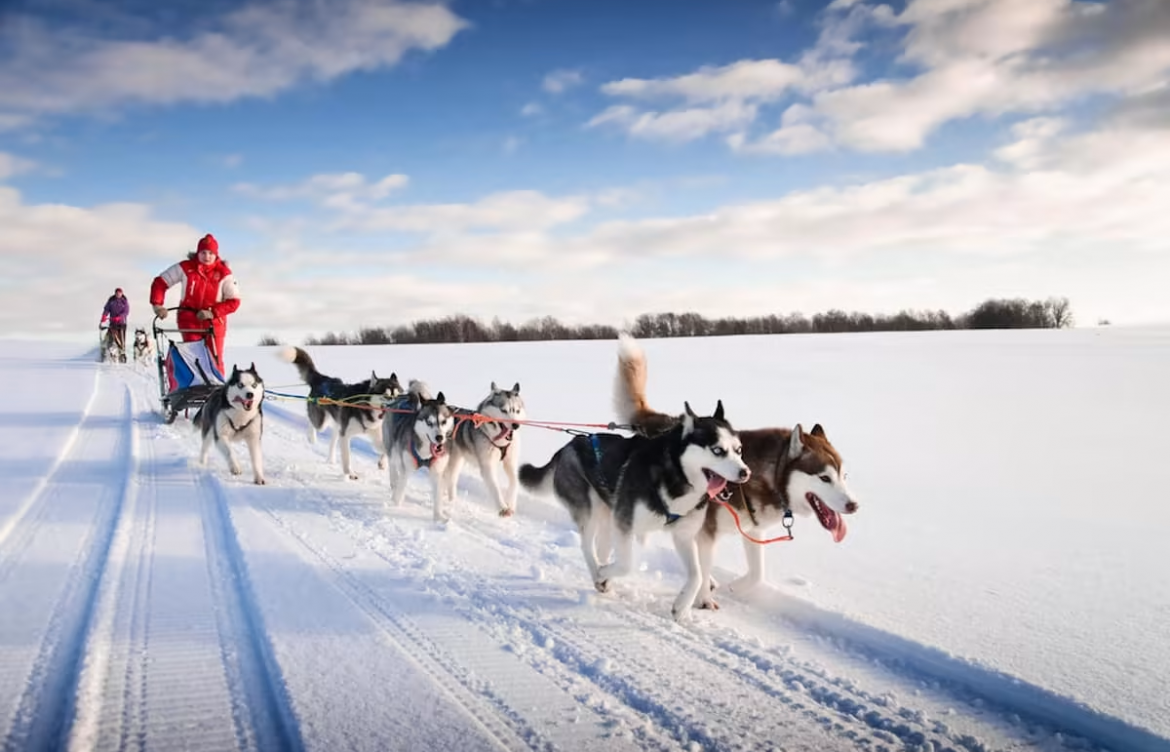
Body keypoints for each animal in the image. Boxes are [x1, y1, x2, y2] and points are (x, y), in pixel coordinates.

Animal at [277, 346, 402, 479]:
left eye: (398, 395)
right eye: (386, 396)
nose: (397, 406)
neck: (366, 408)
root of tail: (322, 379)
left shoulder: (375, 434)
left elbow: (387, 450)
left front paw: (383, 463)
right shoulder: (345, 435)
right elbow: (346, 457)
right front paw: (350, 473)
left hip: (338, 424)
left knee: (333, 438)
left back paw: (331, 459)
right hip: (322, 422)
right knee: (313, 422)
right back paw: (311, 437)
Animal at [383, 383, 456, 523]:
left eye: (443, 421)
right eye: (429, 422)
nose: (439, 437)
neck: (426, 452)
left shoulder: (436, 472)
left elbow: (437, 496)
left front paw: (438, 517)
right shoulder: (407, 468)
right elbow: (400, 490)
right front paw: (394, 507)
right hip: (393, 448)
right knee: (392, 464)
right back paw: (394, 481)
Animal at [439, 383, 528, 516]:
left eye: (517, 411)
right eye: (504, 410)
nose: (516, 425)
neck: (499, 441)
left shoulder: (510, 462)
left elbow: (514, 481)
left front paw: (511, 503)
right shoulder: (487, 466)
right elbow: (495, 487)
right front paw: (502, 507)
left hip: (458, 460)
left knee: (452, 479)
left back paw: (452, 500)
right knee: (446, 476)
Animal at [519, 341, 748, 622]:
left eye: (738, 450)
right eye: (717, 450)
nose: (745, 473)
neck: (676, 477)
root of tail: (570, 444)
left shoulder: (683, 535)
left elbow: (696, 575)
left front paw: (682, 606)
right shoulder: (625, 524)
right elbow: (627, 564)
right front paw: (605, 574)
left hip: (608, 515)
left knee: (602, 547)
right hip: (590, 511)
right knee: (587, 546)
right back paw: (599, 574)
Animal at [613, 332, 861, 608]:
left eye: (843, 476)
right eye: (825, 478)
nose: (854, 505)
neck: (767, 476)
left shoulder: (753, 530)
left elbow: (757, 574)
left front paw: (734, 587)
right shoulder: (706, 533)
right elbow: (703, 567)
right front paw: (704, 599)